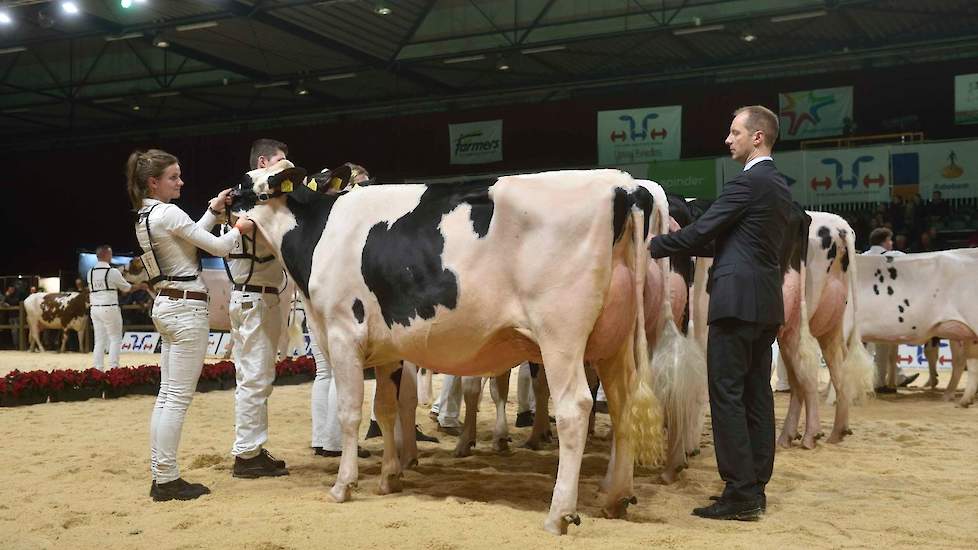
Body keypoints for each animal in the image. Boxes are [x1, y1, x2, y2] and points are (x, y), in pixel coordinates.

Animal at [236, 162, 676, 536]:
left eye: (242, 183)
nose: (222, 201)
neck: (320, 232)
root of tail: (622, 184)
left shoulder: (344, 335)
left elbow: (349, 413)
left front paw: (344, 485)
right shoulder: (387, 349)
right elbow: (386, 409)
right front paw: (389, 477)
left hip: (561, 336)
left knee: (575, 409)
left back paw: (559, 514)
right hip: (613, 340)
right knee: (621, 405)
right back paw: (616, 496)